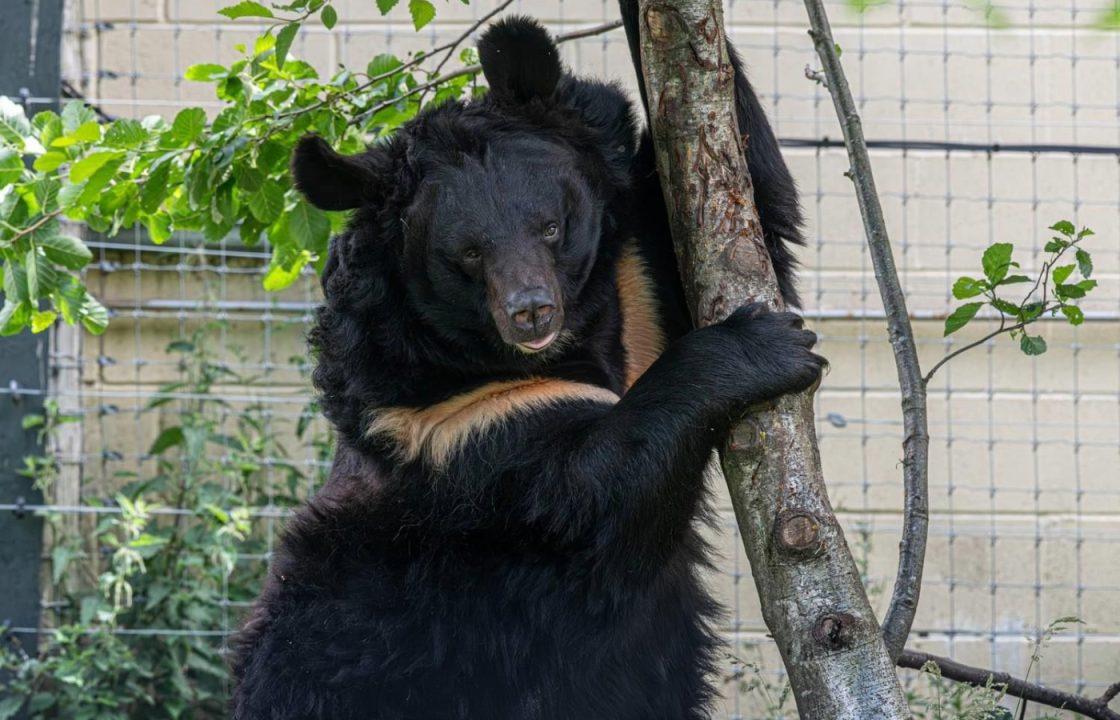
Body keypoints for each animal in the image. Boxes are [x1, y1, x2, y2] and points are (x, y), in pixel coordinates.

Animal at [229, 7, 824, 720]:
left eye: (550, 227)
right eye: (467, 254)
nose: (531, 313)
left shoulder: (639, 290)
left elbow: (747, 208)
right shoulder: (454, 435)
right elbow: (598, 493)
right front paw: (769, 345)